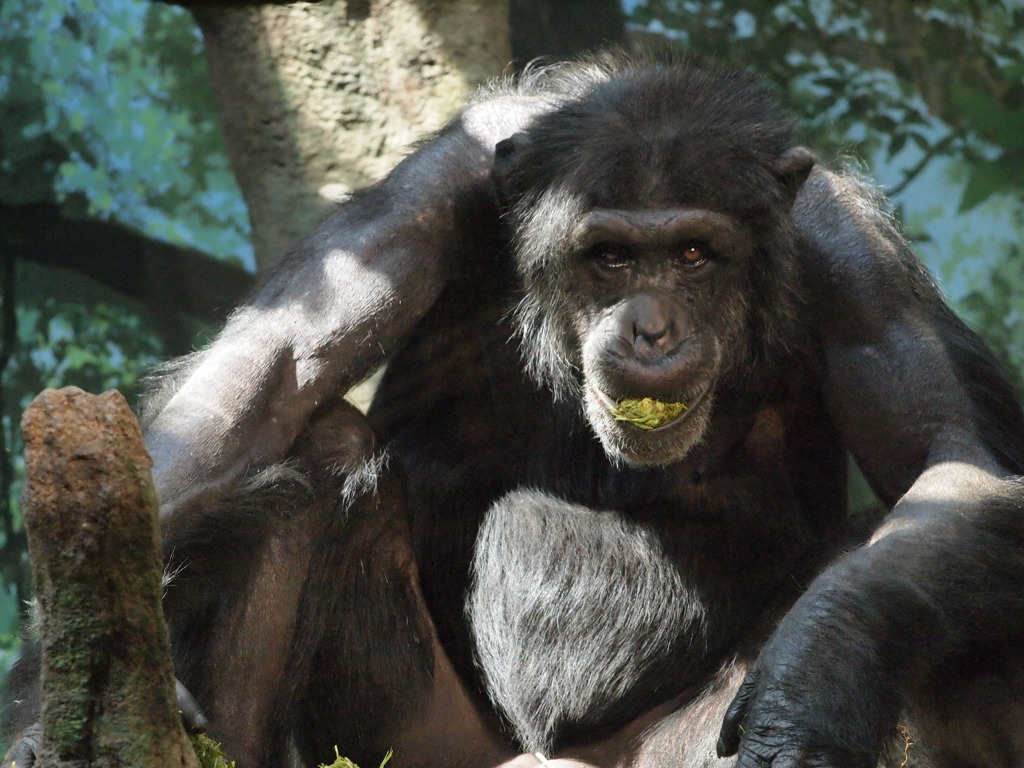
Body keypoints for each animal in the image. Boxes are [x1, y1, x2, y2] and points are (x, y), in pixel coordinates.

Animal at [6, 52, 1024, 768]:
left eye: (695, 254)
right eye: (609, 256)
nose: (651, 326)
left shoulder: (852, 262)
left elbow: (951, 457)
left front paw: (815, 679)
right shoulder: (420, 202)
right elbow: (259, 387)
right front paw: (39, 707)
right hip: (420, 750)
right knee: (323, 446)